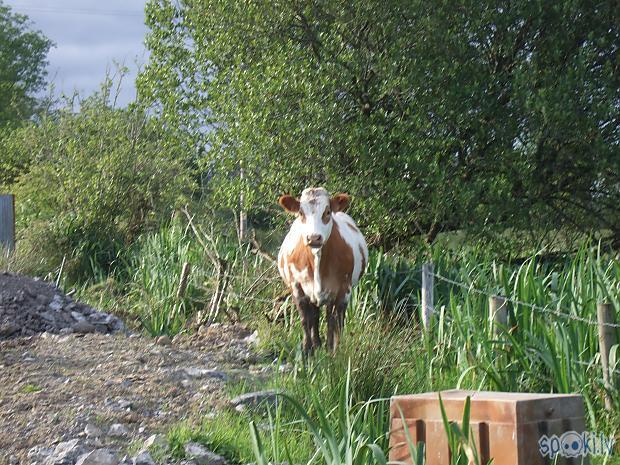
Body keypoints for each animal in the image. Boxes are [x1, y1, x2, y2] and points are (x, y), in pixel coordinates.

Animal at [278, 187, 368, 354]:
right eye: (301, 213)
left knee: (328, 316)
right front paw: (307, 350)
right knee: (314, 316)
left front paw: (334, 350)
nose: (314, 238)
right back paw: (317, 343)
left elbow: (337, 322)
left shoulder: (343, 290)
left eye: (327, 212)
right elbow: (305, 320)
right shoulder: (297, 287)